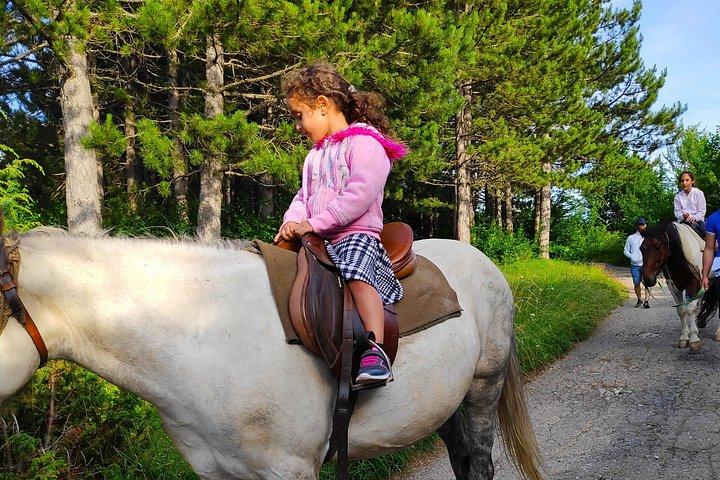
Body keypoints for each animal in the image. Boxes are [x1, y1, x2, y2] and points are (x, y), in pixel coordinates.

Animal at [640, 222, 720, 352]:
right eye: (641, 248)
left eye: (658, 247)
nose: (647, 279)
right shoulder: (674, 286)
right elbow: (681, 310)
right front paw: (684, 337)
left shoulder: (694, 283)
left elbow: (690, 308)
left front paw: (694, 339)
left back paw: (718, 332)